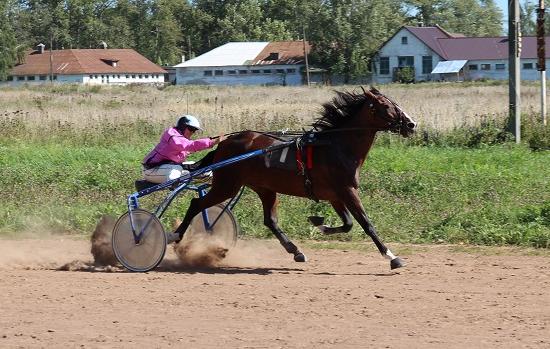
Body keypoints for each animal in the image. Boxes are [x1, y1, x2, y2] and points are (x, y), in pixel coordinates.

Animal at [177, 86, 418, 270]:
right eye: (386, 106)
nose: (411, 124)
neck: (336, 146)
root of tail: (225, 143)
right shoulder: (347, 191)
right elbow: (366, 224)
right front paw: (392, 257)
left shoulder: (336, 195)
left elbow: (348, 224)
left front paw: (319, 223)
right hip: (227, 185)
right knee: (196, 204)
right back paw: (177, 237)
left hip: (264, 188)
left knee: (270, 221)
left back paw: (295, 251)